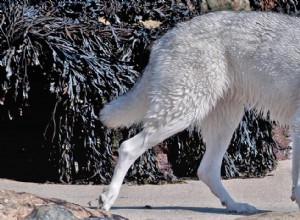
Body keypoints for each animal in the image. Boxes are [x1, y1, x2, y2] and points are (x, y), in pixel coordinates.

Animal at [99, 11, 300, 214]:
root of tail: (166, 36)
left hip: (224, 123)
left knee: (206, 171)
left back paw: (234, 205)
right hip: (182, 113)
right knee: (128, 148)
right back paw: (108, 199)